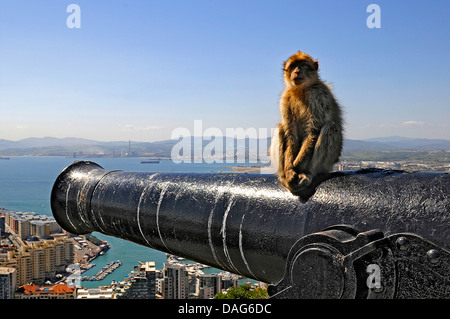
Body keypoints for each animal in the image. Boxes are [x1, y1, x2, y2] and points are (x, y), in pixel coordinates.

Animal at [268, 51, 342, 199]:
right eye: (293, 66)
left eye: (302, 65)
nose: (296, 71)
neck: (301, 90)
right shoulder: (286, 98)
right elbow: (290, 134)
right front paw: (289, 170)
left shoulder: (318, 95)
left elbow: (313, 131)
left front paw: (296, 167)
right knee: (280, 128)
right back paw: (283, 175)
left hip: (327, 164)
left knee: (331, 127)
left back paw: (308, 173)